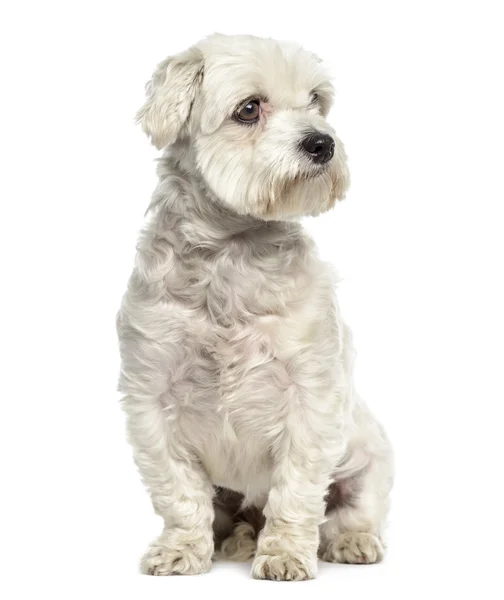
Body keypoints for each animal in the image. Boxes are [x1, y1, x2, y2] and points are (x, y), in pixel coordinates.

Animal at [117, 32, 394, 580]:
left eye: (316, 101)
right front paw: (181, 548)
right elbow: (179, 493)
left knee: (354, 508)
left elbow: (297, 491)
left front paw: (285, 553)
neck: (229, 254)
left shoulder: (311, 397)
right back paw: (240, 540)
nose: (323, 142)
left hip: (369, 458)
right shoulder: (151, 396)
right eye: (249, 109)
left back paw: (350, 540)